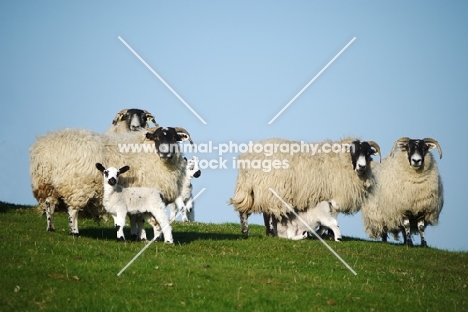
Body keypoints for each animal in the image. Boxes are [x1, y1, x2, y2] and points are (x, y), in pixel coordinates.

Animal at [29, 125, 194, 238]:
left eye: (173, 138)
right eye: (157, 137)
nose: (165, 152)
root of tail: (45, 149)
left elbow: (136, 217)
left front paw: (136, 235)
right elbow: (145, 219)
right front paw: (149, 236)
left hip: (47, 183)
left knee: (49, 204)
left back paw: (50, 227)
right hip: (77, 186)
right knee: (73, 210)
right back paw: (74, 232)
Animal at [229, 136, 380, 236]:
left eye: (368, 153)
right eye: (353, 151)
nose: (362, 166)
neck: (342, 161)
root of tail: (248, 157)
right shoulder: (334, 197)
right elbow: (331, 217)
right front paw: (326, 234)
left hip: (249, 189)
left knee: (247, 210)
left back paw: (251, 231)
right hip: (271, 190)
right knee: (266, 212)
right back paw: (265, 232)